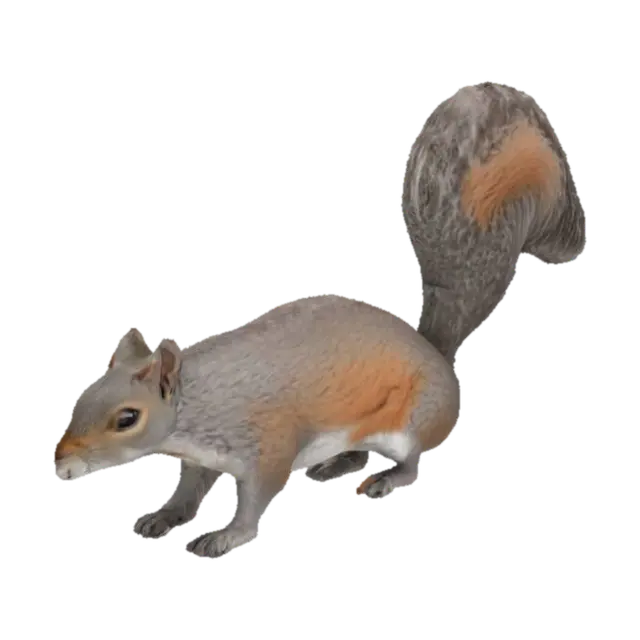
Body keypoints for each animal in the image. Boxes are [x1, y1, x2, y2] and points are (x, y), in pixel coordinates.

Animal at [54, 80, 586, 561]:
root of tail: (435, 354)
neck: (199, 401)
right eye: (83, 396)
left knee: (412, 459)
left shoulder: (267, 443)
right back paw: (339, 463)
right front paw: (164, 515)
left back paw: (384, 479)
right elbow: (190, 487)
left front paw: (225, 537)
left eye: (127, 418)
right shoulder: (201, 456)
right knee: (360, 449)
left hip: (413, 420)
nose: (59, 461)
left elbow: (256, 497)